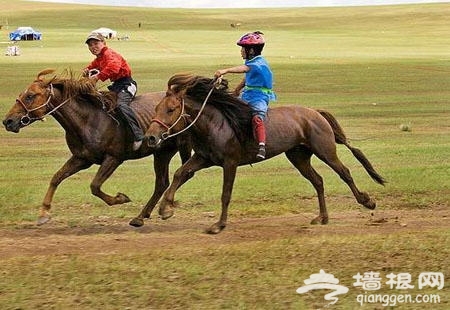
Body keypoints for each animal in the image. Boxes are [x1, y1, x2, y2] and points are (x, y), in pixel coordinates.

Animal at [2, 69, 192, 225]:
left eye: (30, 96)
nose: (7, 121)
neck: (88, 119)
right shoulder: (82, 158)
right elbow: (56, 178)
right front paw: (44, 213)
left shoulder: (113, 158)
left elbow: (94, 186)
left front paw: (120, 198)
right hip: (162, 152)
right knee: (162, 183)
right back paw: (141, 216)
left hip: (180, 146)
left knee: (182, 174)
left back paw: (164, 209)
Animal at [146, 74, 384, 234]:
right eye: (156, 108)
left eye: (170, 109)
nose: (151, 138)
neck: (217, 123)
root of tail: (315, 112)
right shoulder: (203, 158)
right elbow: (180, 174)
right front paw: (165, 210)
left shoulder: (230, 163)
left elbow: (225, 194)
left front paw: (218, 225)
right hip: (298, 157)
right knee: (318, 181)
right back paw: (322, 217)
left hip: (325, 151)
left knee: (344, 172)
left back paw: (367, 202)